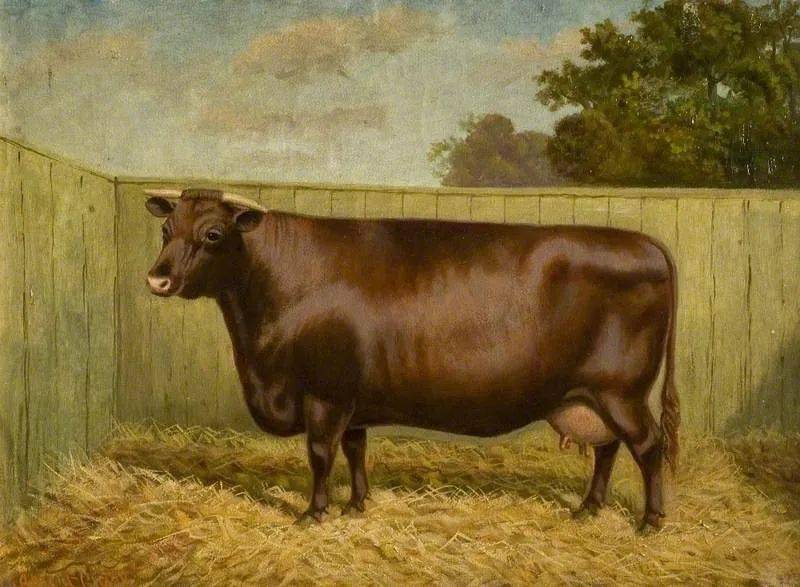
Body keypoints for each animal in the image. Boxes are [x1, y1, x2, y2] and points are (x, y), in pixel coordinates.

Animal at [144, 187, 679, 532]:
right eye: (166, 228)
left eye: (214, 234)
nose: (156, 279)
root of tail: (644, 241)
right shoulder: (353, 398)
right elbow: (355, 448)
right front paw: (357, 504)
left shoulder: (325, 393)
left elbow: (320, 454)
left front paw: (313, 513)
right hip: (593, 396)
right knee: (608, 448)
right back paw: (588, 508)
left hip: (621, 391)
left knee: (646, 446)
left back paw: (651, 520)